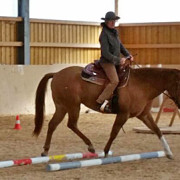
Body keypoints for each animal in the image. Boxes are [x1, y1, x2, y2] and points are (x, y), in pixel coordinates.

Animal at [32, 66, 180, 159]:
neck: (142, 85)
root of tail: (57, 73)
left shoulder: (143, 115)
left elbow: (157, 130)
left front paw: (169, 153)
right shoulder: (123, 114)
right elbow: (114, 132)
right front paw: (106, 152)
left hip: (62, 107)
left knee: (53, 124)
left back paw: (45, 151)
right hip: (73, 106)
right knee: (71, 124)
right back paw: (90, 146)